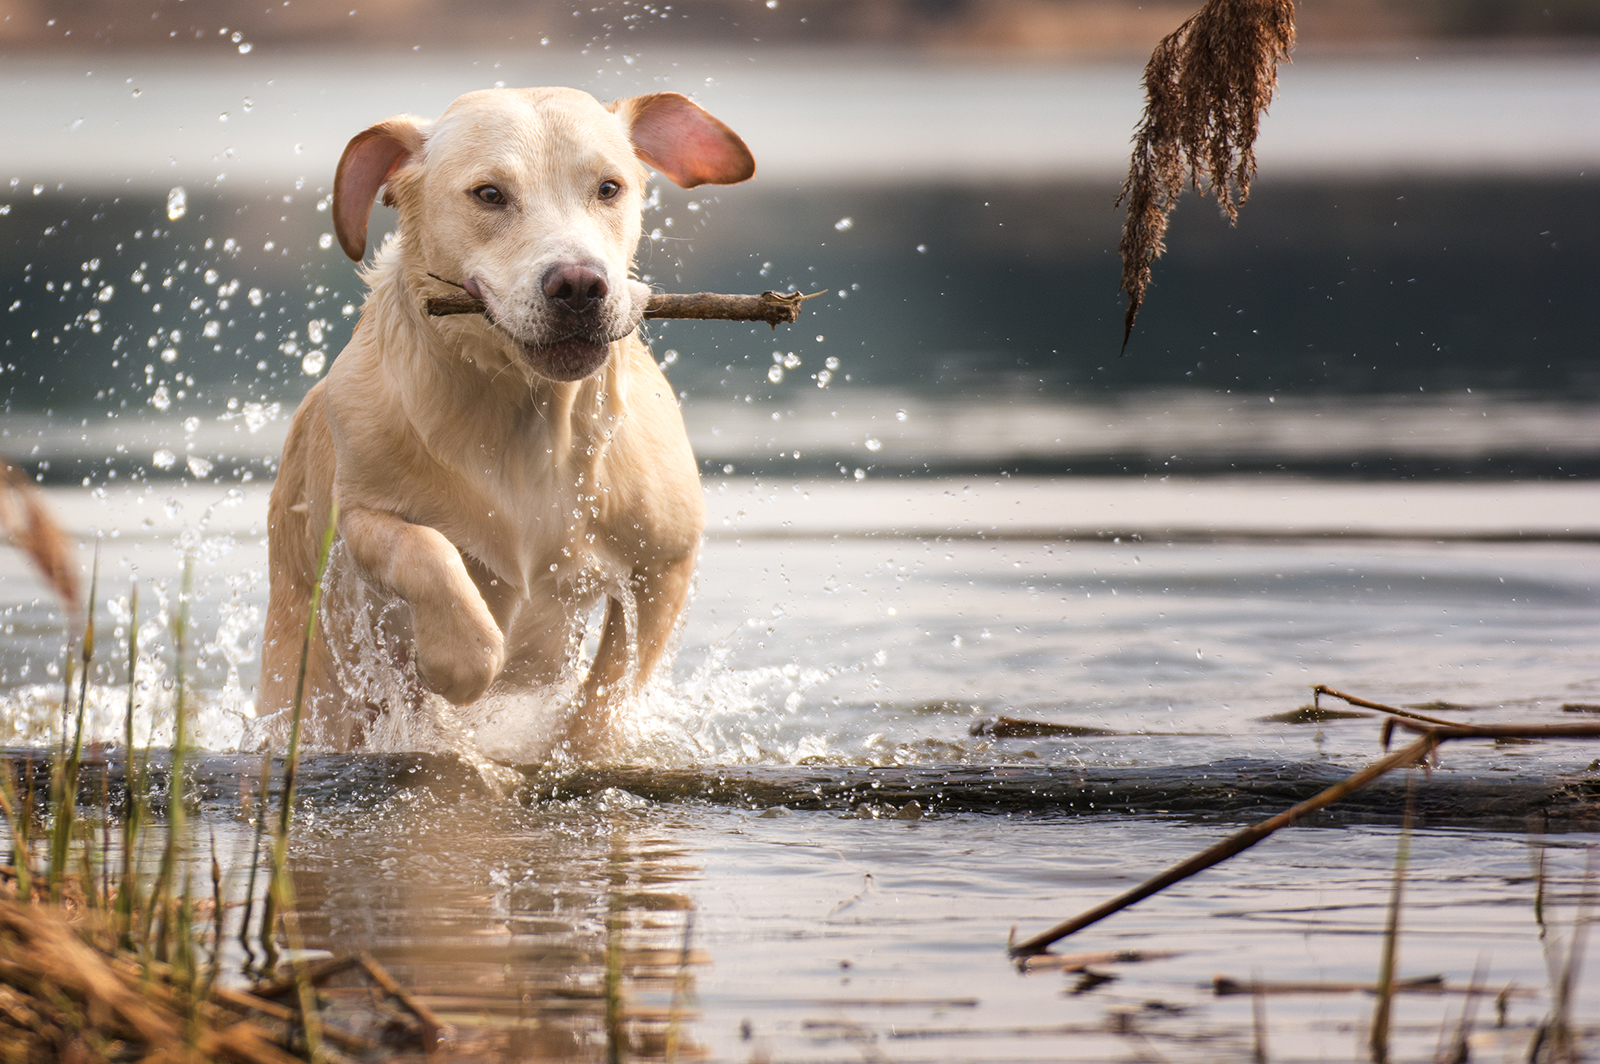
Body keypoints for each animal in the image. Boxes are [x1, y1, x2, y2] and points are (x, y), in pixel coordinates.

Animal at [257, 91, 755, 752]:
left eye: (609, 187)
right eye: (490, 194)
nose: (579, 284)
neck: (530, 413)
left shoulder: (667, 558)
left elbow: (615, 683)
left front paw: (583, 742)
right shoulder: (358, 512)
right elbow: (426, 551)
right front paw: (460, 661)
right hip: (301, 672)